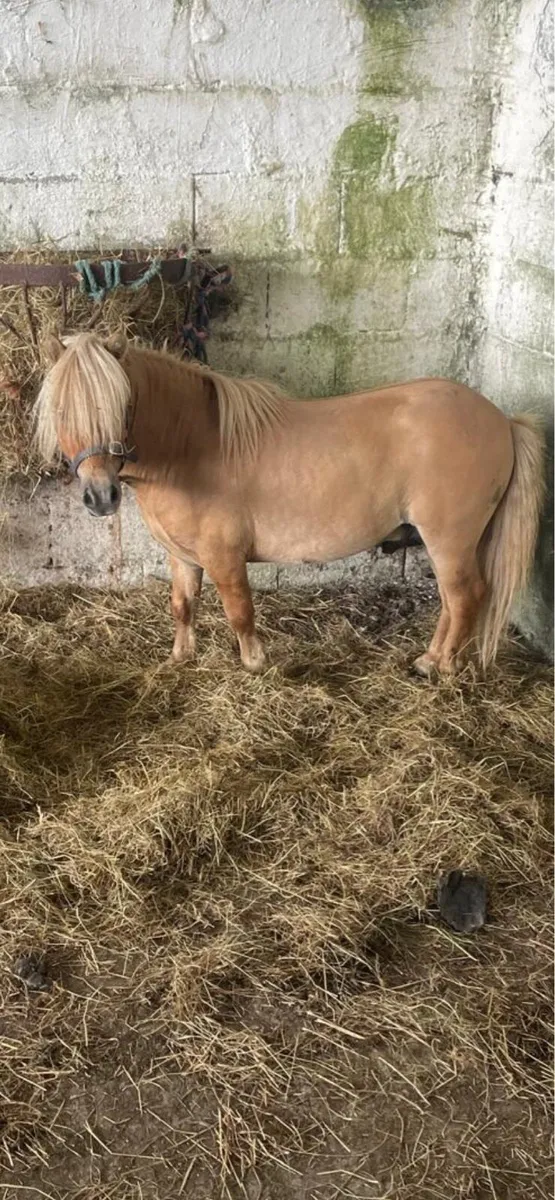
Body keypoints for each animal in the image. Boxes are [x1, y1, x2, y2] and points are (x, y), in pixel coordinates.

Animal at [35, 332, 544, 677]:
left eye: (121, 408)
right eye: (61, 412)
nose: (100, 496)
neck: (191, 447)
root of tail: (502, 421)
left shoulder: (224, 557)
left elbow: (240, 612)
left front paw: (255, 664)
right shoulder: (183, 557)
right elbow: (182, 606)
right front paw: (181, 657)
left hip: (449, 539)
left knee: (465, 597)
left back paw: (439, 666)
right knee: (452, 602)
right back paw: (431, 658)